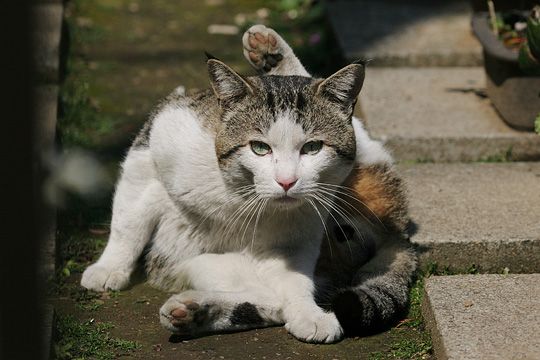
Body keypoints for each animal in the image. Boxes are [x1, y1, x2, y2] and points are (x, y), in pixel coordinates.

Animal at [81, 24, 418, 344]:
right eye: (259, 148)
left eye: (312, 148)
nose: (286, 180)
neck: (240, 196)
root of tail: (397, 229)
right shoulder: (151, 147)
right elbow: (128, 222)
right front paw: (109, 269)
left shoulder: (295, 241)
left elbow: (295, 284)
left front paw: (308, 315)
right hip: (200, 264)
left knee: (275, 300)